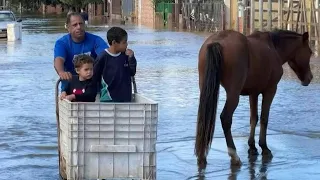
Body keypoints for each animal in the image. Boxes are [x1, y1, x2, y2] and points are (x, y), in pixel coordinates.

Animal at [195, 29, 312, 169]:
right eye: (310, 52)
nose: (310, 78)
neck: (274, 48)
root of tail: (216, 42)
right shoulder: (270, 90)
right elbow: (264, 118)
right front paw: (264, 147)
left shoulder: (253, 93)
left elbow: (253, 118)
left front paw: (252, 147)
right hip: (233, 94)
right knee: (225, 118)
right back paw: (234, 155)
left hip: (205, 89)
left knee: (203, 118)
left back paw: (202, 156)